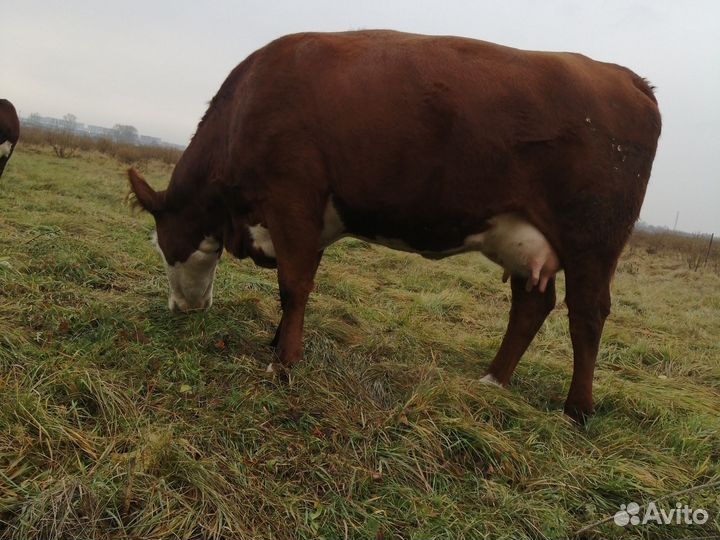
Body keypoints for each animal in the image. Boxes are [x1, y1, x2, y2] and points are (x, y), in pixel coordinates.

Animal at [128, 31, 661, 422]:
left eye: (161, 246)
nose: (181, 308)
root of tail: (625, 76)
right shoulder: (312, 223)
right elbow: (299, 286)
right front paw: (279, 342)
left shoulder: (292, 201)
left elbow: (293, 285)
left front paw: (282, 363)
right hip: (525, 236)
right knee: (532, 305)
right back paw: (493, 381)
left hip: (593, 239)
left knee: (587, 314)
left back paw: (577, 410)